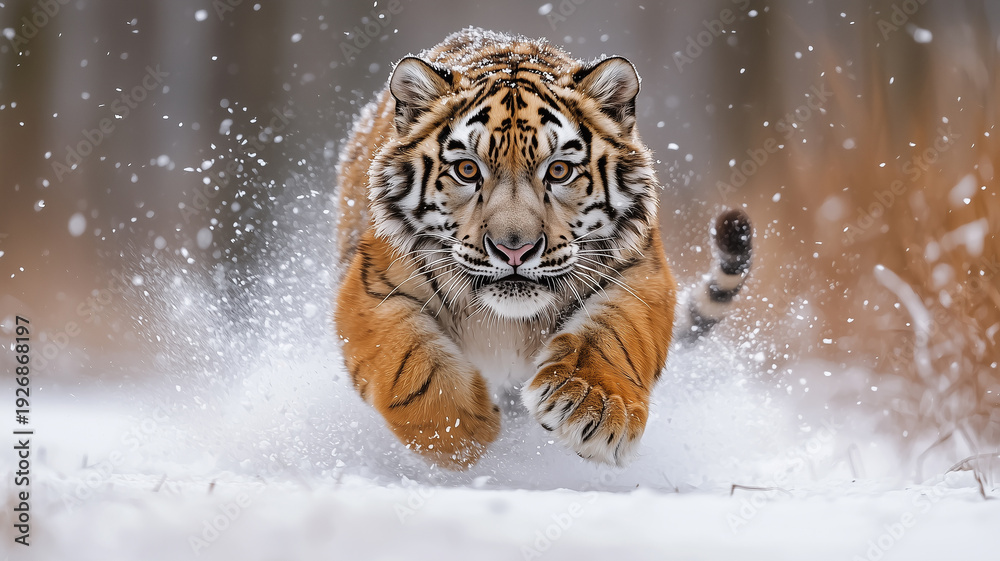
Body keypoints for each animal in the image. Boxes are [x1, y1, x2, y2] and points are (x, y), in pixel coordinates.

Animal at [334, 28, 752, 469]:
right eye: (467, 170)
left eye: (559, 170)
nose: (514, 249)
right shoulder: (373, 286)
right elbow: (404, 357)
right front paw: (461, 431)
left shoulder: (639, 272)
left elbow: (615, 333)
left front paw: (595, 407)